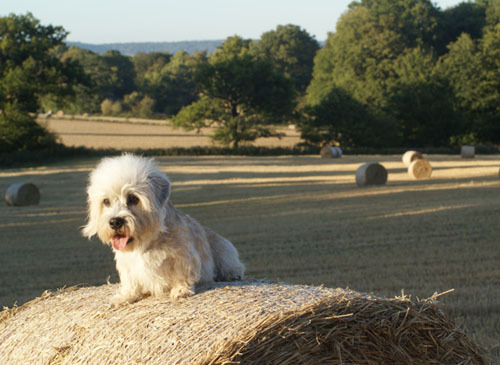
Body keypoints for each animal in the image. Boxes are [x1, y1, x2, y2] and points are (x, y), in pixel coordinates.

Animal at [82, 154, 246, 304]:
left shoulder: (183, 257)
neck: (146, 243)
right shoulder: (127, 265)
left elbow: (183, 274)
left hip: (225, 251)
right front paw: (125, 296)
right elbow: (131, 282)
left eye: (133, 198)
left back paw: (234, 274)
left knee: (235, 266)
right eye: (106, 201)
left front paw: (180, 290)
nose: (115, 221)